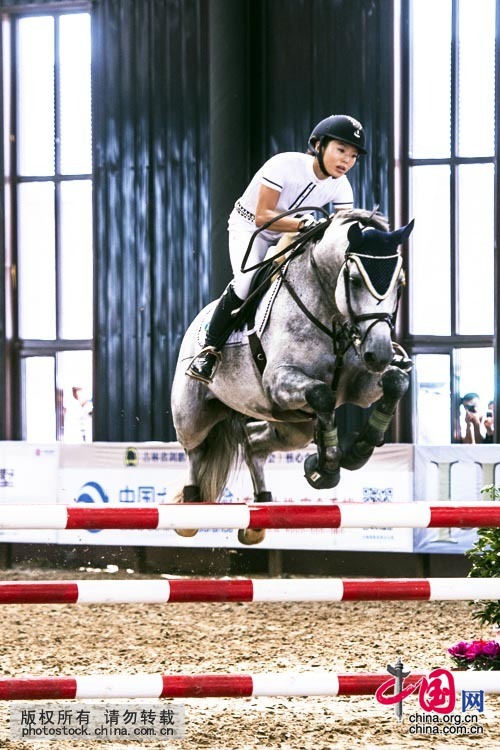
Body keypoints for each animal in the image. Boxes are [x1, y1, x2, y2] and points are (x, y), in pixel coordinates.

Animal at [170, 210, 412, 548]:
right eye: (353, 280)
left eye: (399, 283)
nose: (380, 354)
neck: (330, 311)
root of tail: (195, 325)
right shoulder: (278, 381)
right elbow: (322, 394)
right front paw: (327, 466)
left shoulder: (360, 385)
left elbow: (395, 383)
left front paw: (355, 451)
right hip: (193, 414)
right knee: (196, 451)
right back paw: (190, 508)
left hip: (291, 426)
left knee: (255, 445)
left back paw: (259, 512)